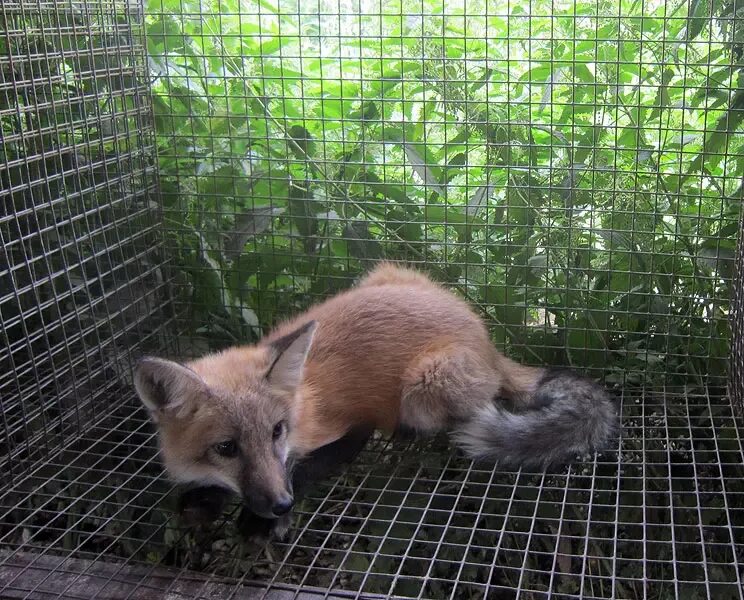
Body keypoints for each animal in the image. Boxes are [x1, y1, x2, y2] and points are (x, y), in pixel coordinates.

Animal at [132, 262, 616, 536]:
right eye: (226, 448)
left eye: (276, 431)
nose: (281, 505)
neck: (304, 401)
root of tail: (486, 338)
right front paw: (206, 501)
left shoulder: (353, 423)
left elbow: (306, 468)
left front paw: (262, 523)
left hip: (424, 384)